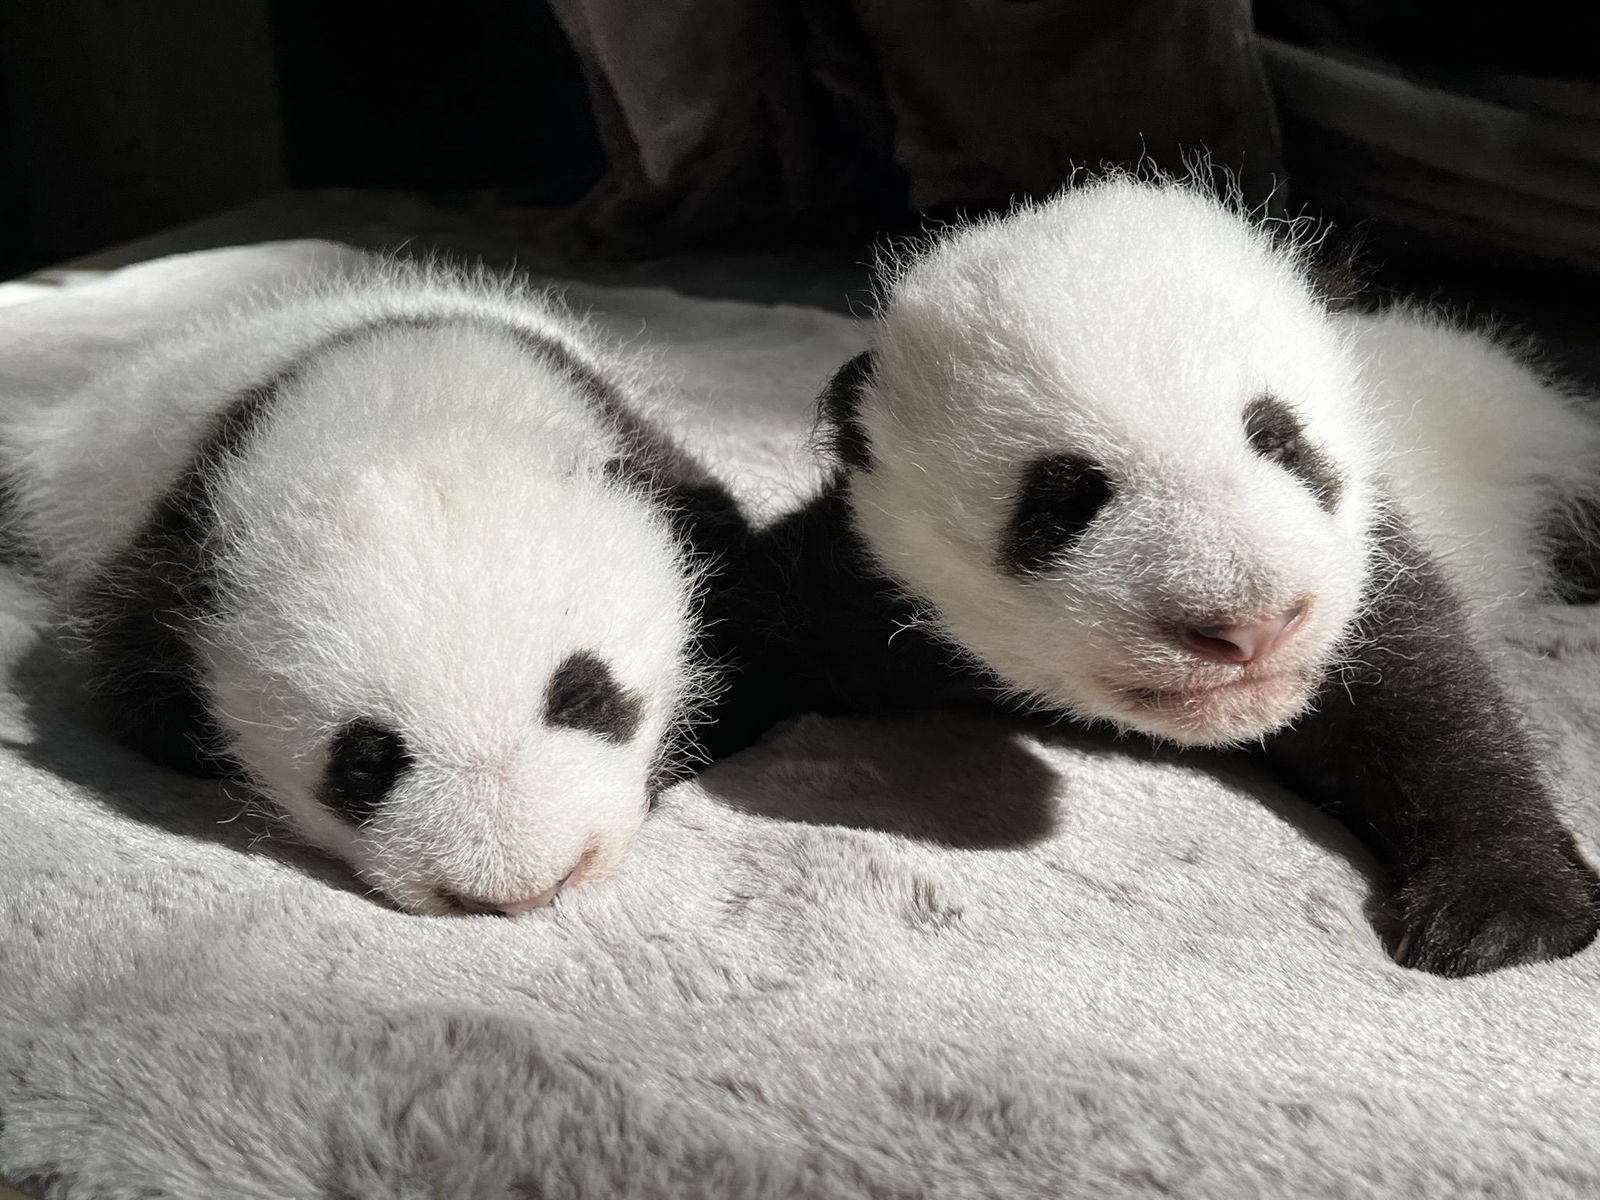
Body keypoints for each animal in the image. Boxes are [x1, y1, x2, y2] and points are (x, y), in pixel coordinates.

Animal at [706, 175, 1600, 977]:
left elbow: (1432, 700)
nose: (1251, 628)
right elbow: (751, 624)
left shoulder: (1366, 557)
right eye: (1065, 501)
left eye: (1280, 441)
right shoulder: (874, 581)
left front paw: (1503, 909)